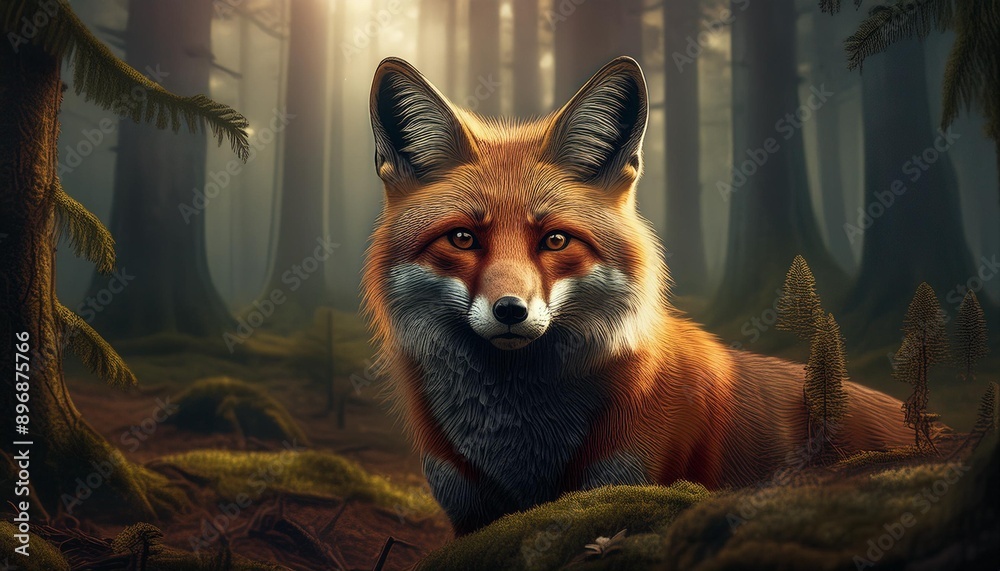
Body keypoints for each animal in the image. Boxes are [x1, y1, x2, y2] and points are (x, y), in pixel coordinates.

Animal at [362, 56, 914, 534]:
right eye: (462, 239)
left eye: (555, 240)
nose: (511, 311)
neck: (518, 446)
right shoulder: (467, 510)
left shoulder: (621, 481)